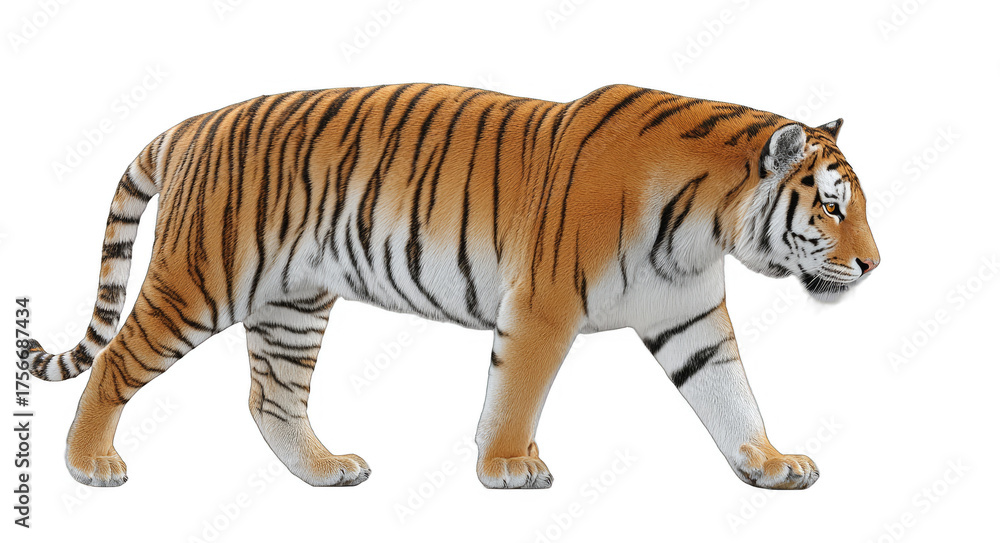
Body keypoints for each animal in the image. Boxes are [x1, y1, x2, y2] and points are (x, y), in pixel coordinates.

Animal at [24, 83, 879, 490]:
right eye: (834, 206)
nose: (874, 266)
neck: (704, 225)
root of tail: (193, 124)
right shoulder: (542, 304)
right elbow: (516, 392)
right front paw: (508, 465)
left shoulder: (693, 318)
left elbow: (732, 393)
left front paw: (769, 462)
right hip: (200, 280)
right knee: (117, 361)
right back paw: (88, 463)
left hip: (291, 304)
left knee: (272, 396)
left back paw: (326, 469)